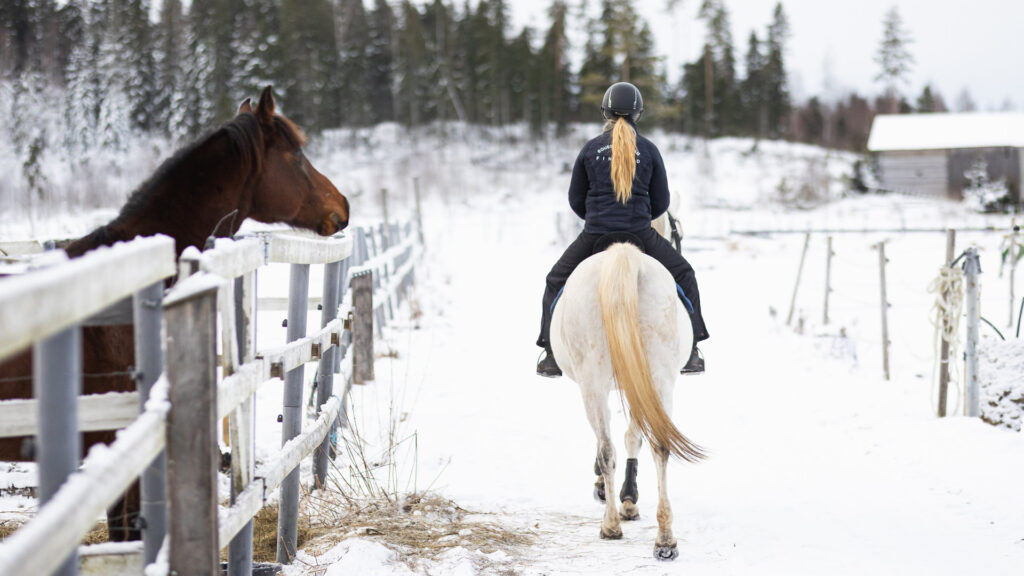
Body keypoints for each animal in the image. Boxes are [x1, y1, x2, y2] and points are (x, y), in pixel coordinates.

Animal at [552, 239, 704, 557]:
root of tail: (622, 255)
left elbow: (621, 440)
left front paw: (618, 495)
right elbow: (635, 436)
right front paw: (629, 498)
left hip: (593, 383)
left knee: (607, 448)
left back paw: (610, 524)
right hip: (658, 378)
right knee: (660, 445)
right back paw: (665, 539)